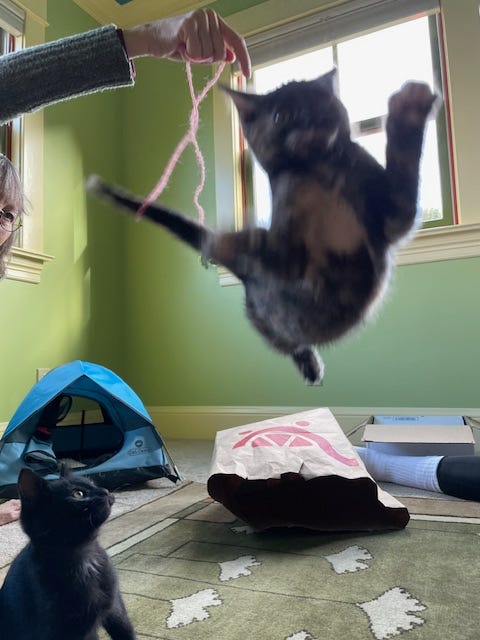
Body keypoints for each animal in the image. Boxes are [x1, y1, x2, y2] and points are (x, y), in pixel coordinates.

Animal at [0, 466, 136, 640]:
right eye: (78, 494)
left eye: (93, 483)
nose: (105, 491)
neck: (84, 556)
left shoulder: (115, 609)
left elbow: (125, 630)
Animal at [87, 69, 436, 384]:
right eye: (282, 115)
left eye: (323, 104)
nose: (309, 120)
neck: (317, 172)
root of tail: (245, 281)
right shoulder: (288, 261)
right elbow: (270, 249)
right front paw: (244, 236)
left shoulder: (392, 218)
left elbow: (403, 169)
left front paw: (410, 109)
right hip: (266, 323)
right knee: (287, 341)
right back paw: (306, 362)